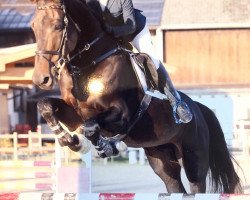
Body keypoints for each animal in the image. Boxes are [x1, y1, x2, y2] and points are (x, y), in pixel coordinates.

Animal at [29, 0, 242, 194]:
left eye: (58, 25)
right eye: (33, 26)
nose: (41, 78)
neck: (87, 64)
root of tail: (198, 108)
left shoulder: (122, 115)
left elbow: (91, 126)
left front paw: (106, 147)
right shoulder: (76, 113)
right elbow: (46, 105)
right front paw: (70, 140)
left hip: (193, 160)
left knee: (196, 185)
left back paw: (182, 111)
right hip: (161, 158)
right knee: (174, 185)